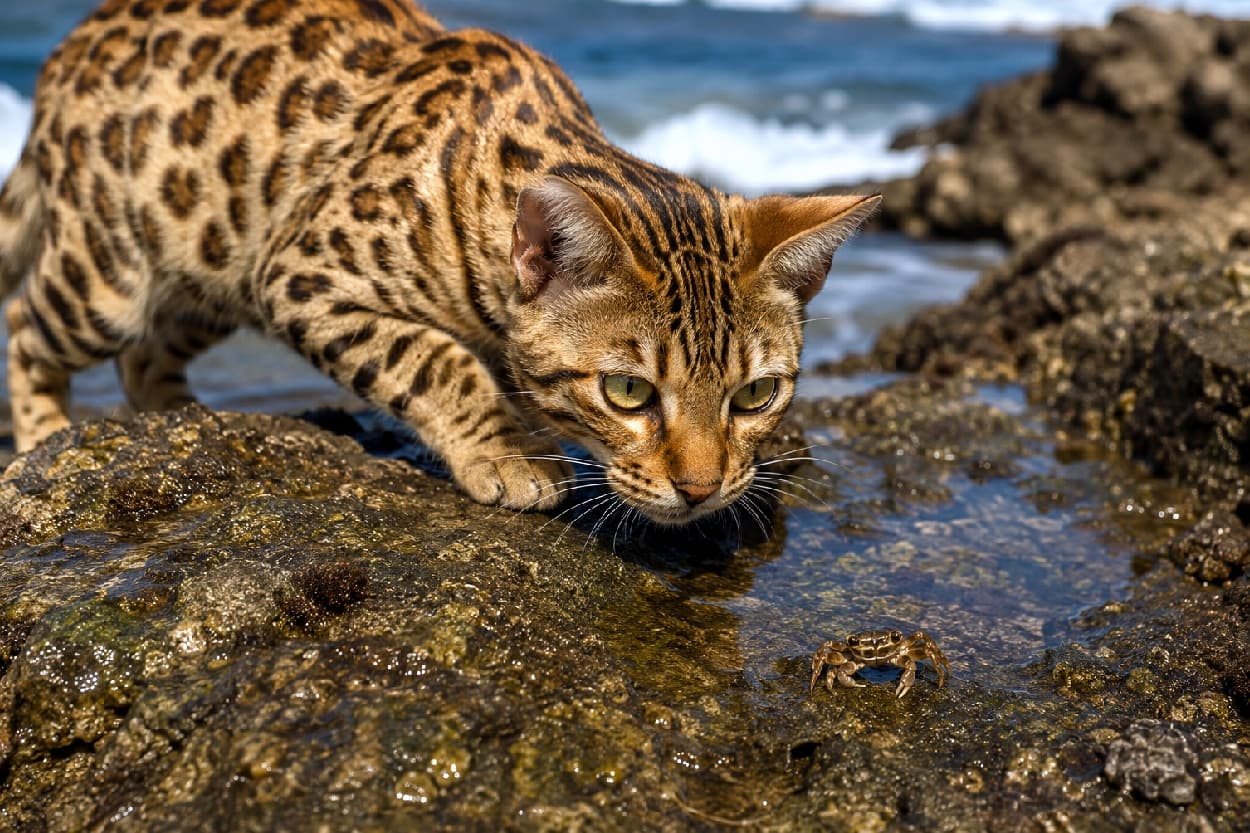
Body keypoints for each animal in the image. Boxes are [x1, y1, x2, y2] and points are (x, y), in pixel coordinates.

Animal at [0, 0, 879, 526]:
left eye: (757, 394)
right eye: (627, 391)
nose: (699, 490)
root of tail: (69, 47)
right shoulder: (304, 271)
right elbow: (433, 358)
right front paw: (507, 451)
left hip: (209, 271)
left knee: (145, 356)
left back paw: (181, 419)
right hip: (107, 273)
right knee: (26, 326)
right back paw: (46, 437)